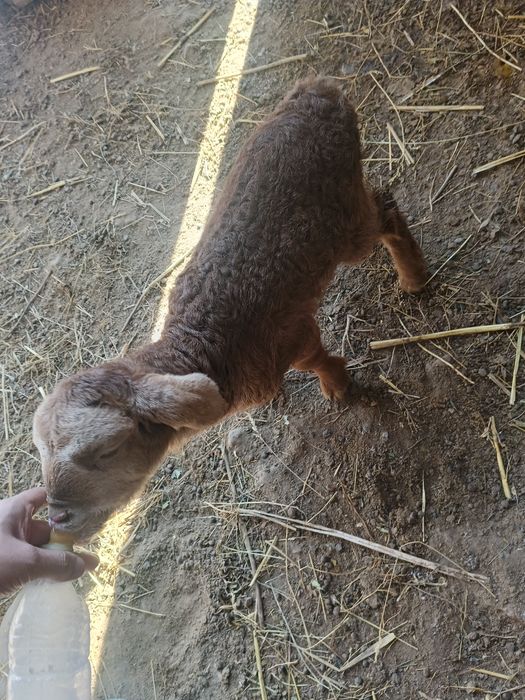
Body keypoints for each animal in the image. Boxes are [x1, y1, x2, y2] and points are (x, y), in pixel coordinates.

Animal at [33, 77, 428, 540]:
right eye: (41, 453)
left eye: (108, 450)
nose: (58, 516)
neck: (204, 342)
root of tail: (319, 94)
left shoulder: (291, 333)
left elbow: (315, 360)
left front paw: (337, 386)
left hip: (347, 223)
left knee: (386, 209)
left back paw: (414, 278)